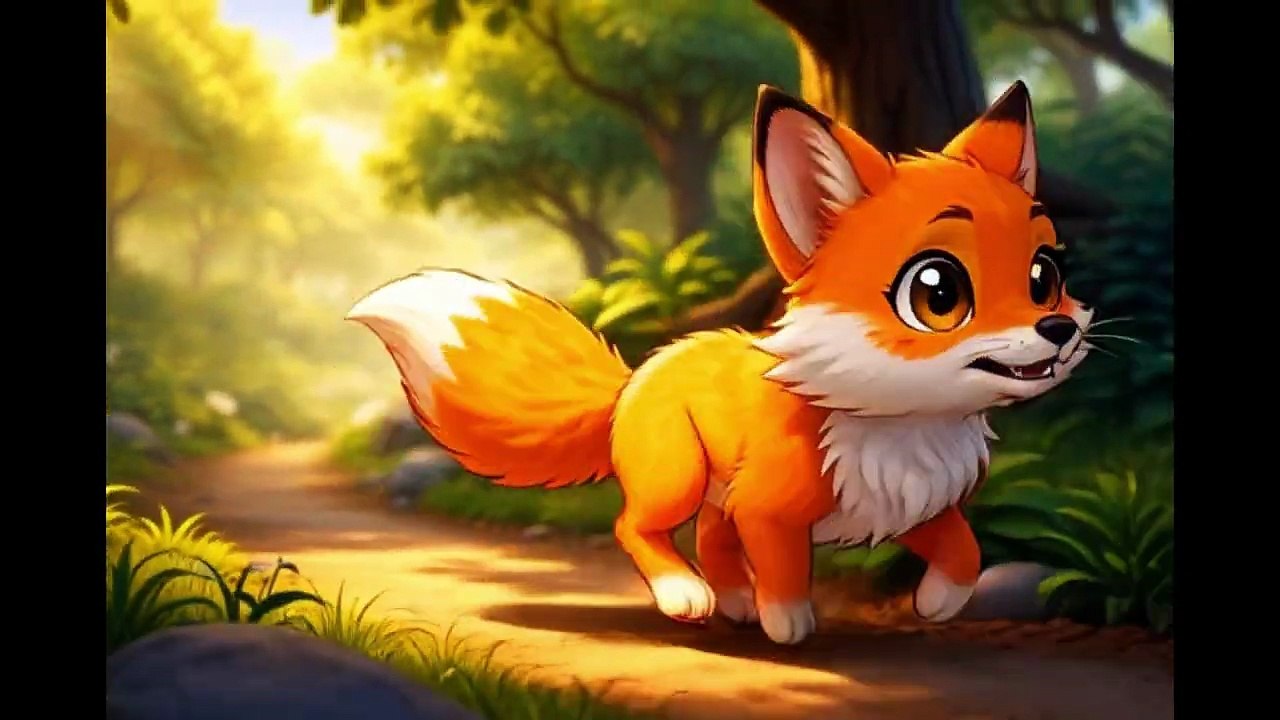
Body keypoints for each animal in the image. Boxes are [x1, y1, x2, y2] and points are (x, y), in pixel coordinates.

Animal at [346, 80, 1095, 645]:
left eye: (1045, 274)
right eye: (938, 293)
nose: (1058, 330)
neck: (897, 425)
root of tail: (640, 373)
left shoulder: (906, 501)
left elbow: (967, 550)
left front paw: (938, 602)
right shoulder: (769, 509)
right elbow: (786, 570)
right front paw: (788, 623)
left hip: (713, 490)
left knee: (708, 537)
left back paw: (731, 600)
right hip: (677, 477)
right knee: (634, 527)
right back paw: (688, 596)